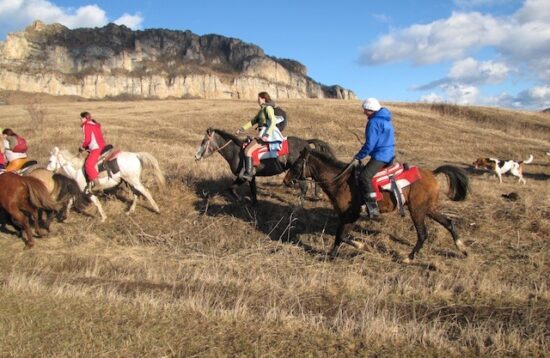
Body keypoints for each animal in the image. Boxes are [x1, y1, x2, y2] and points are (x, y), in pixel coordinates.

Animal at [195, 128, 336, 204]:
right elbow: (252, 190)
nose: (196, 156)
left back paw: (299, 204)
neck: (236, 151)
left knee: (304, 187)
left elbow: (230, 188)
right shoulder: (251, 177)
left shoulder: (243, 177)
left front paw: (240, 200)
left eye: (204, 141)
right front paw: (254, 203)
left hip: (299, 173)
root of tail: (306, 143)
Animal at [284, 148, 470, 262]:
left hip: (417, 211)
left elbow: (343, 236)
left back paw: (409, 258)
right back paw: (462, 248)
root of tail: (431, 173)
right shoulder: (344, 217)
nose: (286, 181)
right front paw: (331, 256)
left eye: (297, 164)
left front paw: (362, 246)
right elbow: (338, 236)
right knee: (449, 223)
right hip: (428, 209)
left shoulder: (351, 215)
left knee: (423, 234)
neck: (341, 181)